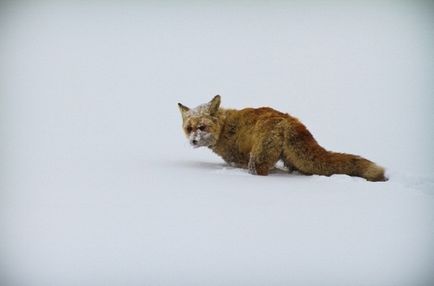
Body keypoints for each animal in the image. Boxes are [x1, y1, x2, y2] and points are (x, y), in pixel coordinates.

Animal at [178, 95, 388, 182]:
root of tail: (288, 120)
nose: (193, 141)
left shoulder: (239, 160)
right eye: (189, 129)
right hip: (294, 161)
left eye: (202, 127)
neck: (224, 128)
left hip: (257, 161)